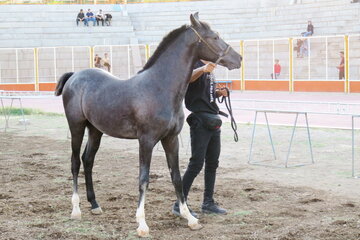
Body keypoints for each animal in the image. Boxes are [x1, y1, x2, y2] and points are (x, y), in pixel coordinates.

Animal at [55, 12, 242, 236]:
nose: (238, 59)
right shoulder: (146, 141)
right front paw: (142, 224)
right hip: (77, 127)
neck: (160, 87)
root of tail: (74, 76)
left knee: (87, 160)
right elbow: (143, 179)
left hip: (95, 130)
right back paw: (76, 210)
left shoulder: (171, 139)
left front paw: (189, 218)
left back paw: (95, 205)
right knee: (75, 162)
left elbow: (177, 177)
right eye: (214, 37)